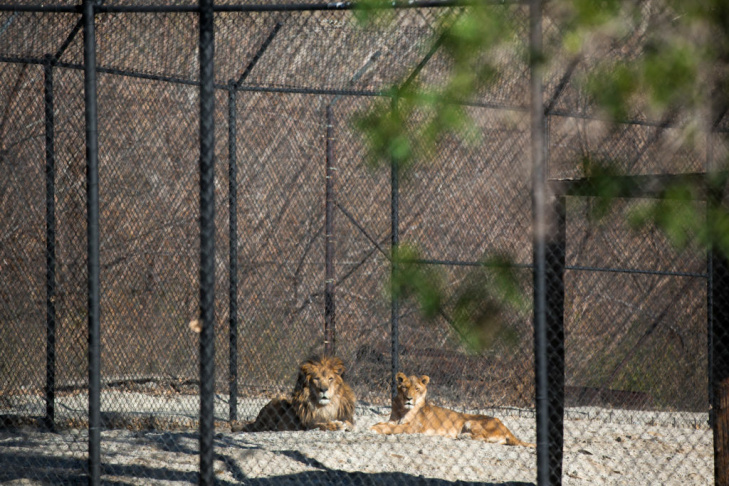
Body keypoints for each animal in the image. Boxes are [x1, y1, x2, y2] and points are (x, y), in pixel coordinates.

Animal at [371, 372, 534, 447]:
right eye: (404, 387)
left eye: (417, 389)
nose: (409, 398)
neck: (401, 408)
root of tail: (506, 428)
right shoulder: (393, 420)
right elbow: (384, 423)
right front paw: (375, 426)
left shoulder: (412, 427)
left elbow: (394, 429)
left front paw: (375, 429)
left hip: (470, 421)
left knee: (483, 437)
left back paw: (463, 436)